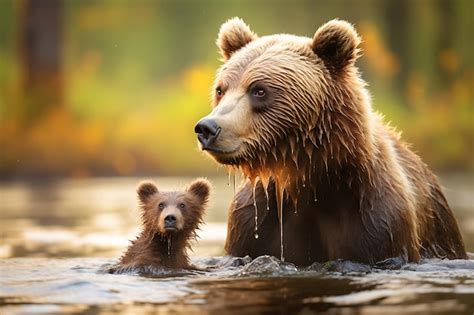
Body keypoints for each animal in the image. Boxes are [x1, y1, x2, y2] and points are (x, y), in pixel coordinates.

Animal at [193, 17, 466, 266]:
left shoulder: (377, 220)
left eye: (259, 90)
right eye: (221, 89)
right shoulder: (253, 224)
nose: (207, 128)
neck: (312, 180)